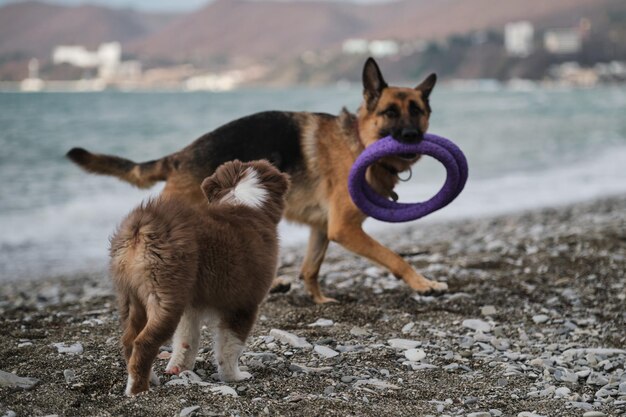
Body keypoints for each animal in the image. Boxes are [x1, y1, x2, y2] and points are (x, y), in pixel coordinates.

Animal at [70, 57, 446, 302]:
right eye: (390, 113)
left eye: (417, 111)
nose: (411, 137)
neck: (357, 141)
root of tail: (182, 155)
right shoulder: (345, 228)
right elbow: (393, 257)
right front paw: (423, 283)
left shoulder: (323, 228)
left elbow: (311, 268)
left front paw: (320, 301)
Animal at [109, 158, 288, 394]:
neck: (243, 201)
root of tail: (142, 224)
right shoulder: (243, 304)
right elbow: (230, 346)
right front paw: (234, 377)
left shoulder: (191, 307)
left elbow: (187, 340)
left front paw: (179, 368)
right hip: (165, 296)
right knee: (144, 343)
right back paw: (138, 390)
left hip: (130, 296)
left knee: (129, 341)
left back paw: (148, 378)